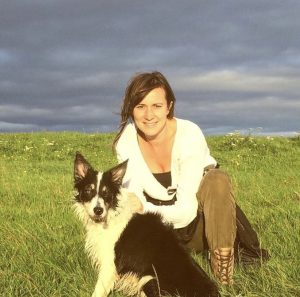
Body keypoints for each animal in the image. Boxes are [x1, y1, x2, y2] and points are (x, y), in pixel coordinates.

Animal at [74, 153, 219, 296]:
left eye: (106, 193)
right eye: (88, 190)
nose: (98, 210)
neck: (111, 215)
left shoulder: (109, 265)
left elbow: (98, 291)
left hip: (149, 278)